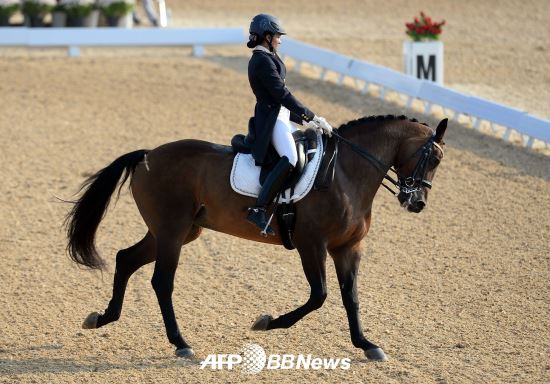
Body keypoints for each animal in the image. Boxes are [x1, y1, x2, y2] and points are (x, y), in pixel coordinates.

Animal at [64, 114, 448, 360]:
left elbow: (350, 297)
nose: (416, 202)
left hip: (177, 232)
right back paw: (180, 343)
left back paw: (103, 317)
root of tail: (148, 155)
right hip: (172, 232)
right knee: (161, 282)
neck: (346, 175)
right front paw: (267, 323)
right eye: (431, 157)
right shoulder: (312, 245)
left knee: (125, 259)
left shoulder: (347, 248)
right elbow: (319, 296)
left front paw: (367, 344)